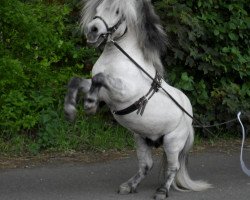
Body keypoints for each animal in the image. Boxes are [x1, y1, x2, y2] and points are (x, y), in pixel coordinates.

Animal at [64, 0, 211, 198]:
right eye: (98, 8)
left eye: (117, 11)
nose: (92, 30)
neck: (120, 59)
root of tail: (189, 114)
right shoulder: (103, 91)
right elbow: (77, 81)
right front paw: (70, 110)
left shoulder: (124, 92)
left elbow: (99, 78)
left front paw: (90, 105)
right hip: (141, 139)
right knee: (146, 165)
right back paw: (129, 186)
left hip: (173, 142)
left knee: (173, 167)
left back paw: (162, 191)